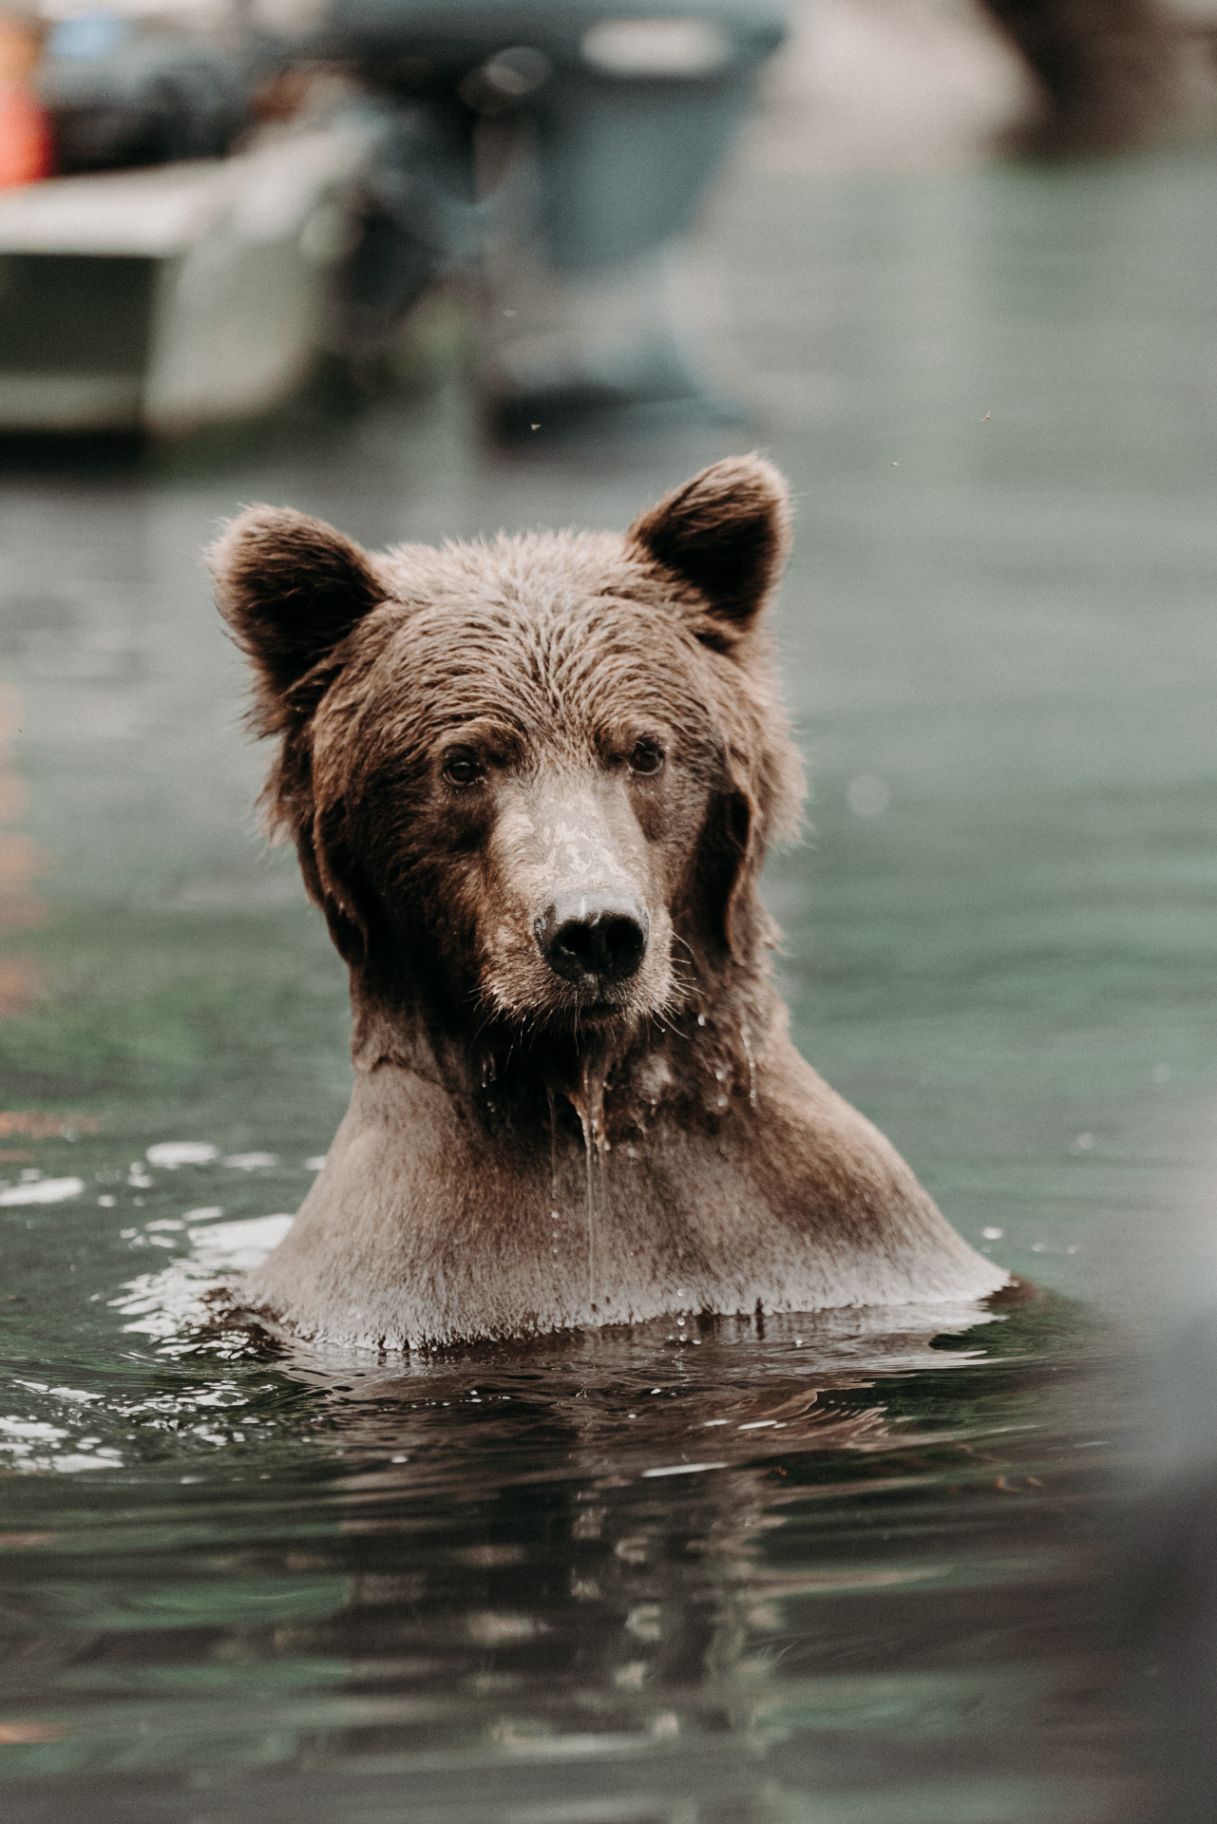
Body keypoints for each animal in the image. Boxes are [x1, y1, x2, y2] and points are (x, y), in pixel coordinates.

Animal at [209, 455, 1008, 1349]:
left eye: (643, 750)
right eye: (463, 762)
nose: (593, 932)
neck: (596, 1104)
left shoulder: (836, 1246)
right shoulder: (413, 1286)